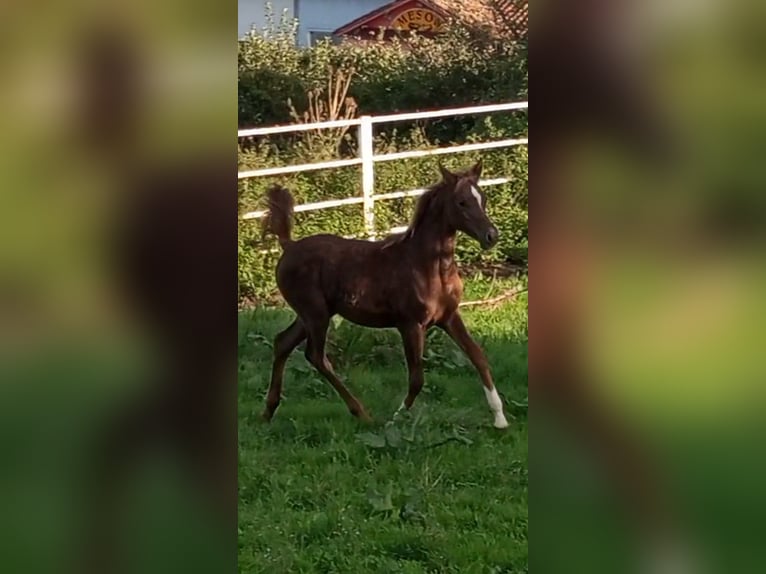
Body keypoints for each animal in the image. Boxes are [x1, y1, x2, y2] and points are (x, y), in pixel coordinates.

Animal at [262, 160, 510, 430]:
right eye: (461, 202)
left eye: (483, 198)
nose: (491, 236)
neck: (427, 266)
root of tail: (289, 246)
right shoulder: (411, 324)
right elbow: (417, 379)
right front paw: (396, 418)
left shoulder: (449, 317)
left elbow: (478, 357)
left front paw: (500, 418)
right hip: (315, 314)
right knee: (316, 356)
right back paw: (362, 413)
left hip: (311, 314)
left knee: (282, 342)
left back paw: (268, 411)